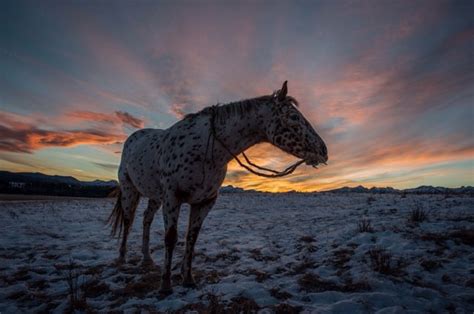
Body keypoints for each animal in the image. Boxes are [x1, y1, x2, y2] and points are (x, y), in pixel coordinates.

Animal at [109, 81, 328, 294]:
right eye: (293, 116)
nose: (323, 150)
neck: (206, 150)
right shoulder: (173, 197)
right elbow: (171, 238)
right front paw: (165, 286)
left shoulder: (205, 202)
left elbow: (191, 238)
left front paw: (188, 279)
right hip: (130, 191)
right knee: (128, 222)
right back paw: (121, 258)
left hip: (155, 197)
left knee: (146, 219)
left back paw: (146, 258)